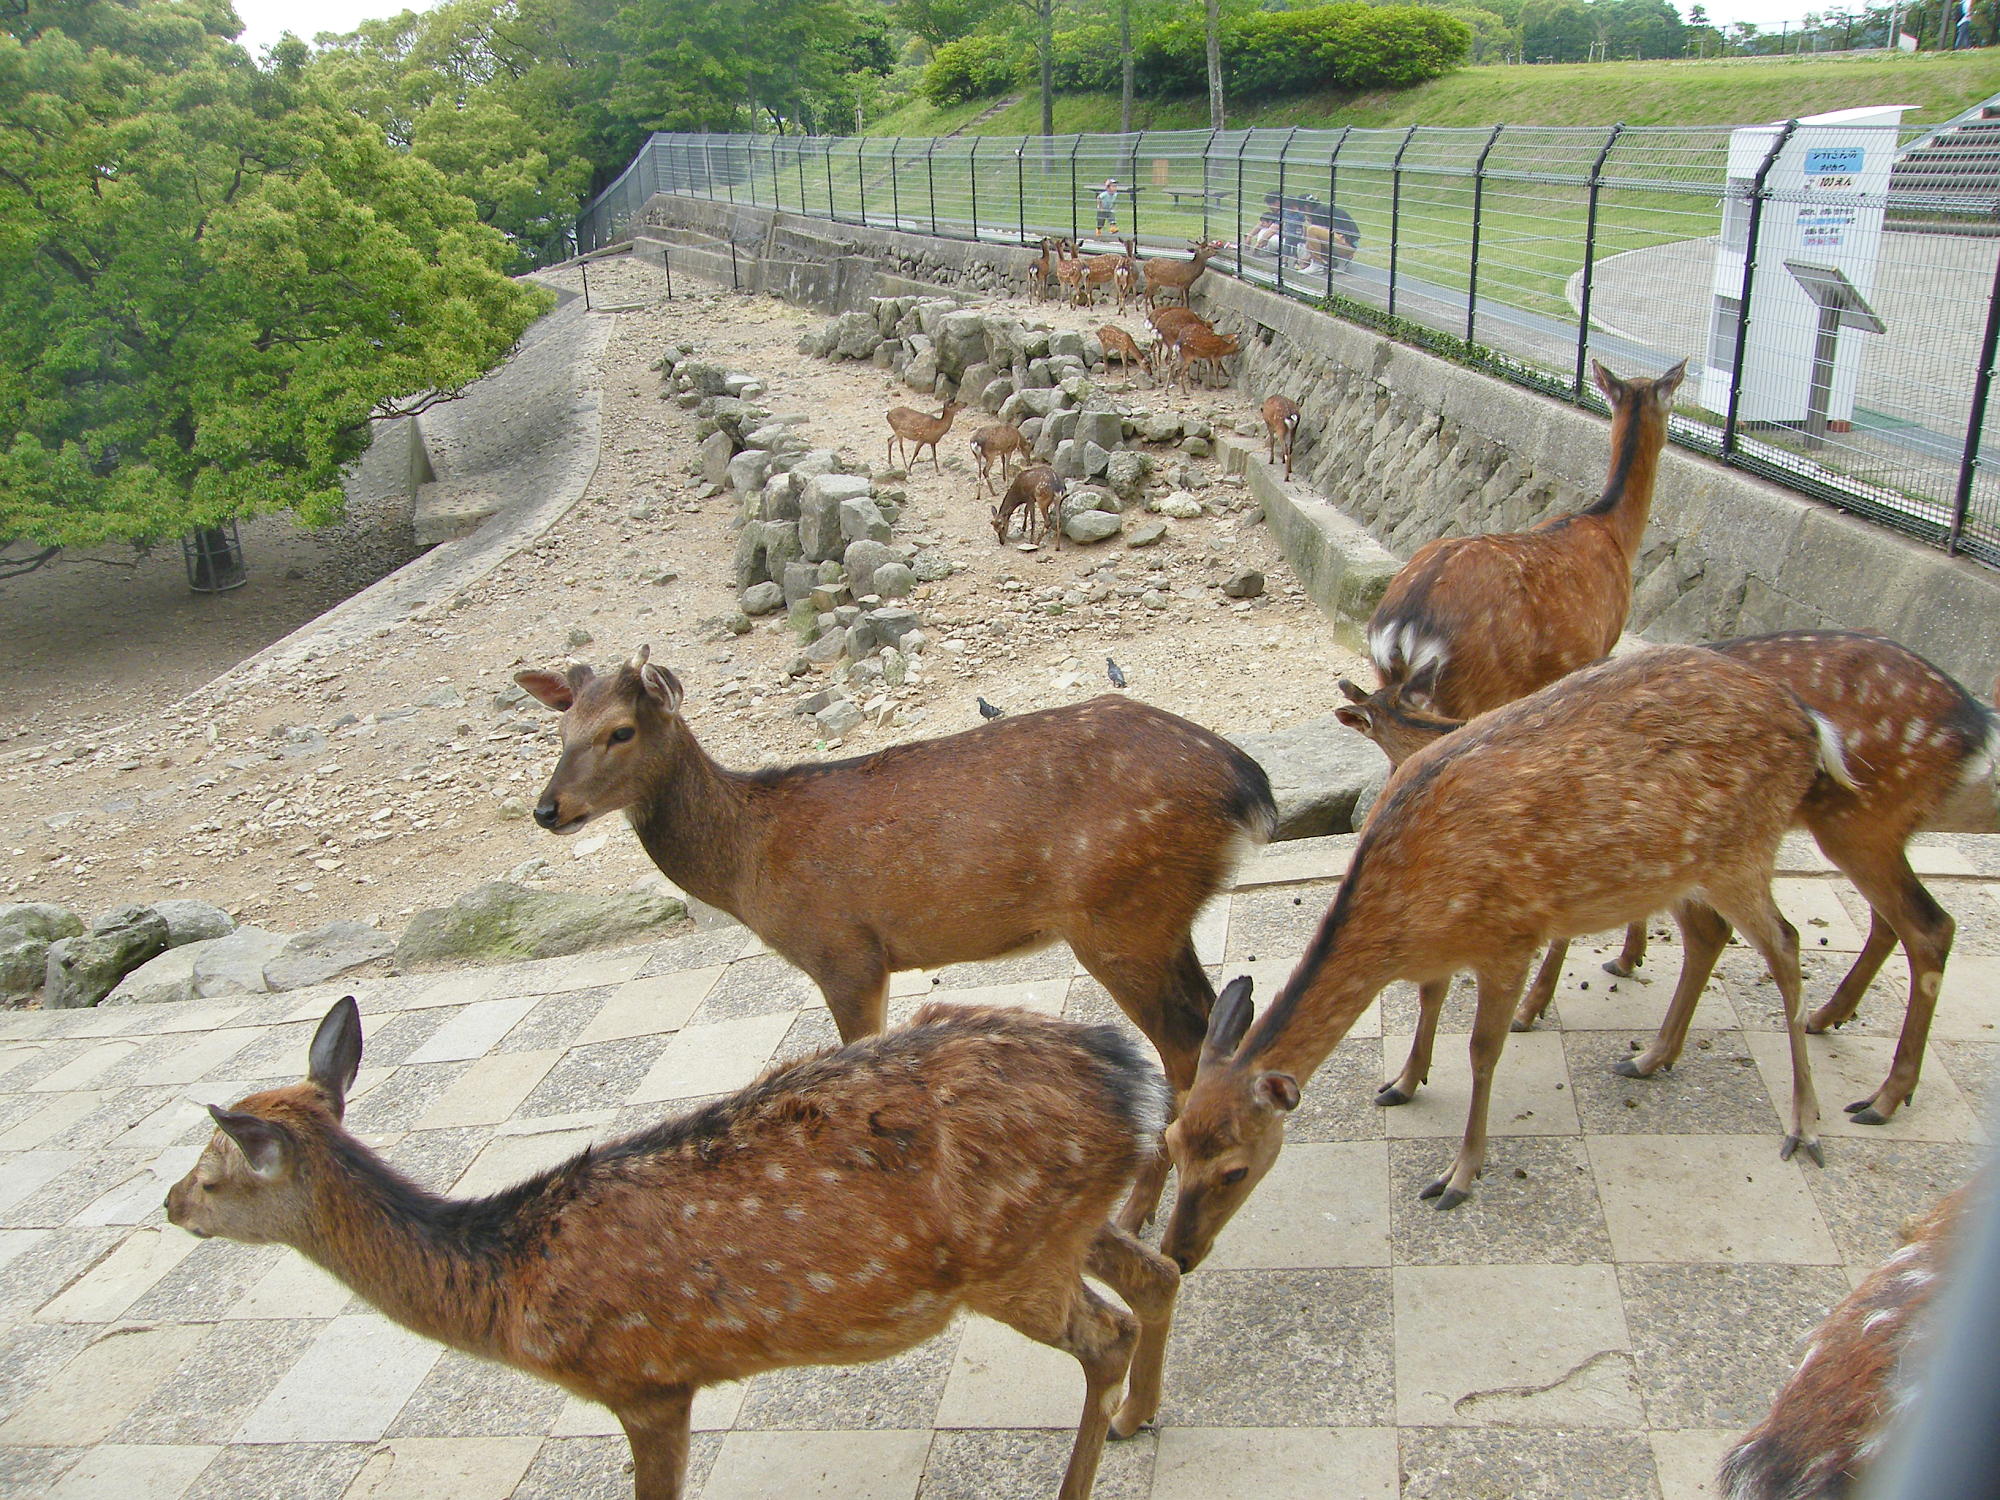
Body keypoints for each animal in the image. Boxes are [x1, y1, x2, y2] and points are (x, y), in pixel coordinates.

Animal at [167, 997, 1181, 1500]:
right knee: (1158, 1269)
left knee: (1109, 1333)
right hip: (1062, 1227)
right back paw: (1139, 1416)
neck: (510, 1290)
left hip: (1014, 1260)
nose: (173, 1204)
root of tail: (1135, 1083)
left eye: (211, 1171)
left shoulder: (645, 1380)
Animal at [517, 648, 1277, 1231]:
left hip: (1118, 915)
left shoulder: (844, 951)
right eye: (560, 732)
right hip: (1161, 919)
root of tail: (1249, 788)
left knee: (1183, 1049)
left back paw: (1138, 1211)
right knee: (1219, 1018)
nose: (547, 810)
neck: (748, 868)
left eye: (619, 731)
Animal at [1156, 645, 1852, 1268]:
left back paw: (1806, 1126)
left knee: (1786, 944)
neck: (1407, 915)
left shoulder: (1510, 941)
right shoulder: (1439, 954)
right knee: (1708, 935)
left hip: (1744, 847)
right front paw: (1402, 1082)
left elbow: (1482, 1053)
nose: (1177, 1256)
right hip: (1678, 870)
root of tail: (1813, 725)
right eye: (1171, 1143)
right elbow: (1429, 1000)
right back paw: (1651, 1058)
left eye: (1234, 1169)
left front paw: (1458, 1175)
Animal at [1335, 629, 2000, 1126]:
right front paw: (1623, 959)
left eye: (1373, 732)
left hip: (1853, 821)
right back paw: (1822, 1019)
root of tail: (1976, 725)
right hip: (1850, 829)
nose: (1387, 797)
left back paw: (1883, 1097)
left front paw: (1530, 1008)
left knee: (1928, 924)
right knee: (1892, 920)